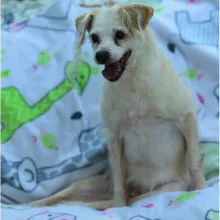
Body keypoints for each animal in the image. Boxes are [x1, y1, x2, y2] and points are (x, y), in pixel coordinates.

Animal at [4, 3, 206, 210]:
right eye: (94, 38)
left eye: (120, 34)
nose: (101, 55)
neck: (132, 82)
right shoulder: (114, 137)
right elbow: (118, 183)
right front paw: (119, 205)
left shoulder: (187, 119)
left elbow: (195, 161)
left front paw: (201, 188)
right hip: (85, 184)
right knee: (56, 200)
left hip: (166, 189)